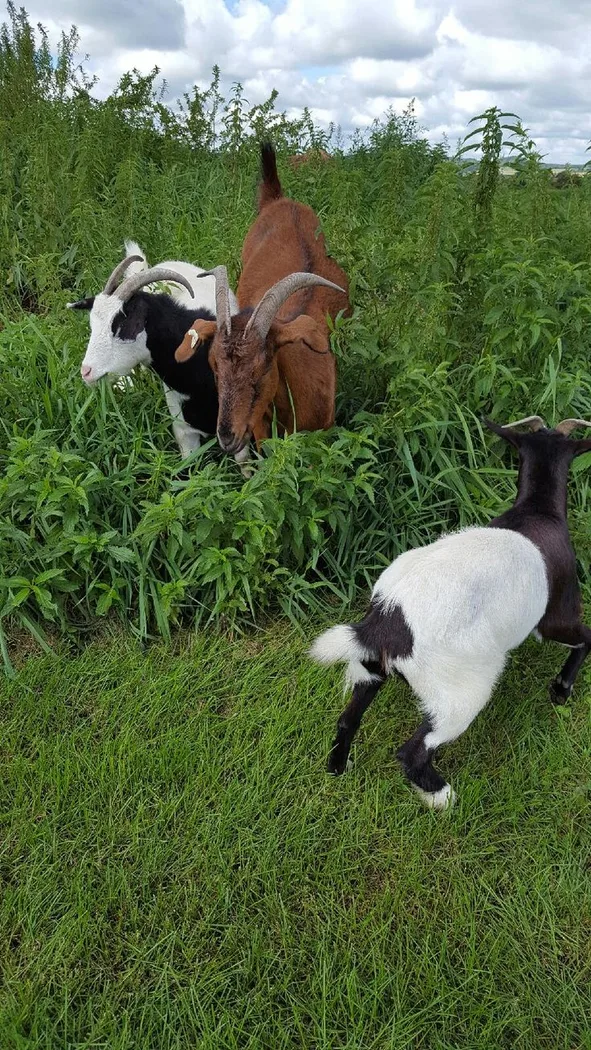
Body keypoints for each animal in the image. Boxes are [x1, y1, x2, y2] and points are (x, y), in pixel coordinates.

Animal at [310, 416, 591, 810]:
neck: (537, 511)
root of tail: (385, 621)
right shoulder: (555, 616)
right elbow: (586, 638)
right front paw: (562, 688)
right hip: (459, 690)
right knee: (413, 752)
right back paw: (444, 799)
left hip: (369, 668)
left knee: (347, 719)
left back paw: (337, 767)